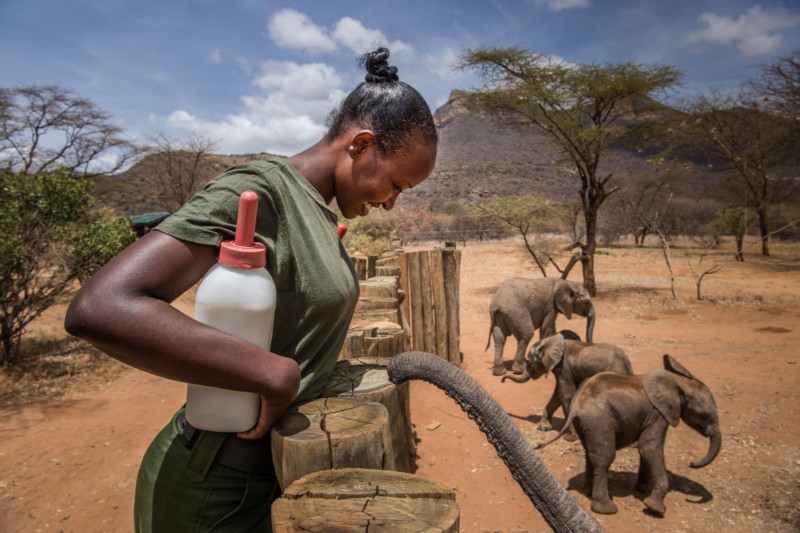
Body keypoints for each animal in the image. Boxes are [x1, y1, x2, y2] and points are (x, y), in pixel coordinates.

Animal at [504, 332, 636, 440]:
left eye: (528, 362)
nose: (503, 380)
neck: (549, 342)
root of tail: (627, 364)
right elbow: (558, 395)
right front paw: (543, 428)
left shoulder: (565, 367)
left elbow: (566, 395)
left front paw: (569, 438)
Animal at [536, 354, 720, 516]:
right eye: (704, 416)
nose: (692, 463)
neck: (676, 381)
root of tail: (576, 406)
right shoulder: (658, 414)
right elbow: (649, 447)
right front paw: (655, 509)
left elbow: (646, 450)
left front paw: (643, 490)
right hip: (600, 420)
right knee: (604, 458)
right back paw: (606, 509)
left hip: (589, 424)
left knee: (592, 453)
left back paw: (588, 491)